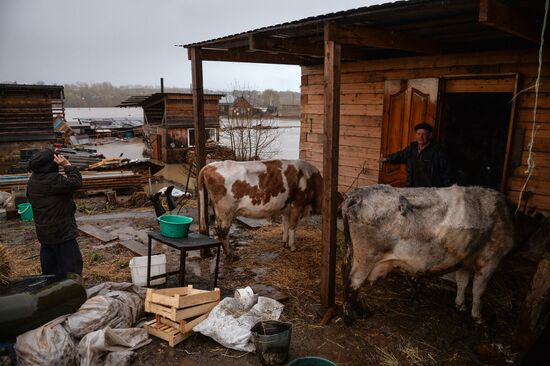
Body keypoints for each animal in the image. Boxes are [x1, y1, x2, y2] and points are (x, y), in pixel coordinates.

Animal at [198, 159, 326, 258]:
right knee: (222, 231)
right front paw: (293, 246)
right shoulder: (298, 205)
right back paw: (231, 255)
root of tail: (210, 166)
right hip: (225, 211)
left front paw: (284, 243)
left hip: (221, 212)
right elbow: (293, 227)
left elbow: (285, 224)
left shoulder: (287, 208)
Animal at [342, 184, 516, 324]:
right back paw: (352, 316)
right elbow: (478, 290)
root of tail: (356, 194)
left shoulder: (464, 259)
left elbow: (463, 282)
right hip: (366, 258)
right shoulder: (489, 261)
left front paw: (460, 305)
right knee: (353, 283)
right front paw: (478, 317)